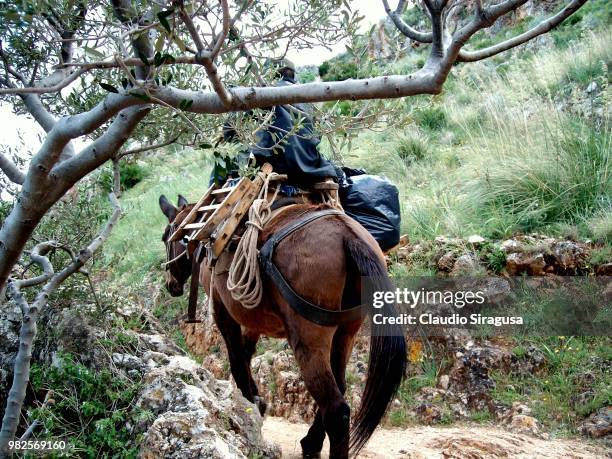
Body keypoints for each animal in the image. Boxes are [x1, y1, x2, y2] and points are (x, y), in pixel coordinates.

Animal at [158, 196, 406, 458]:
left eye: (166, 237)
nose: (171, 285)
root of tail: (348, 235)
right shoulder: (253, 322)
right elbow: (246, 354)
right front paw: (257, 399)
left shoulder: (223, 314)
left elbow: (237, 361)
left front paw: (249, 410)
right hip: (347, 331)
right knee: (339, 385)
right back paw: (311, 442)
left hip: (309, 340)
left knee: (336, 409)